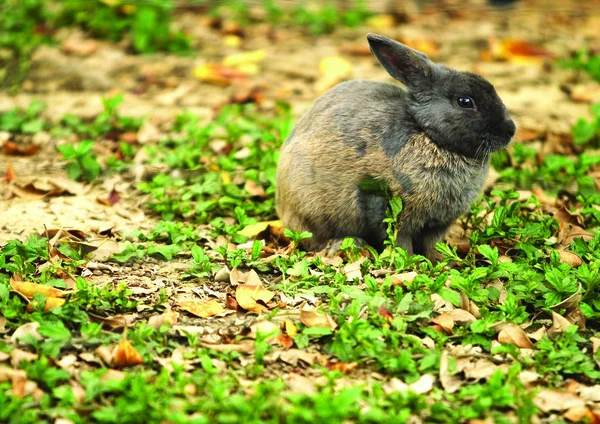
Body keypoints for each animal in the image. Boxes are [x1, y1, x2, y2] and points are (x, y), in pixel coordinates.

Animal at [276, 34, 516, 262]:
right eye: (465, 101)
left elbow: (433, 244)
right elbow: (401, 241)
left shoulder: (438, 224)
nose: (510, 130)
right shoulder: (386, 208)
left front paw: (443, 263)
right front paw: (411, 263)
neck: (428, 134)